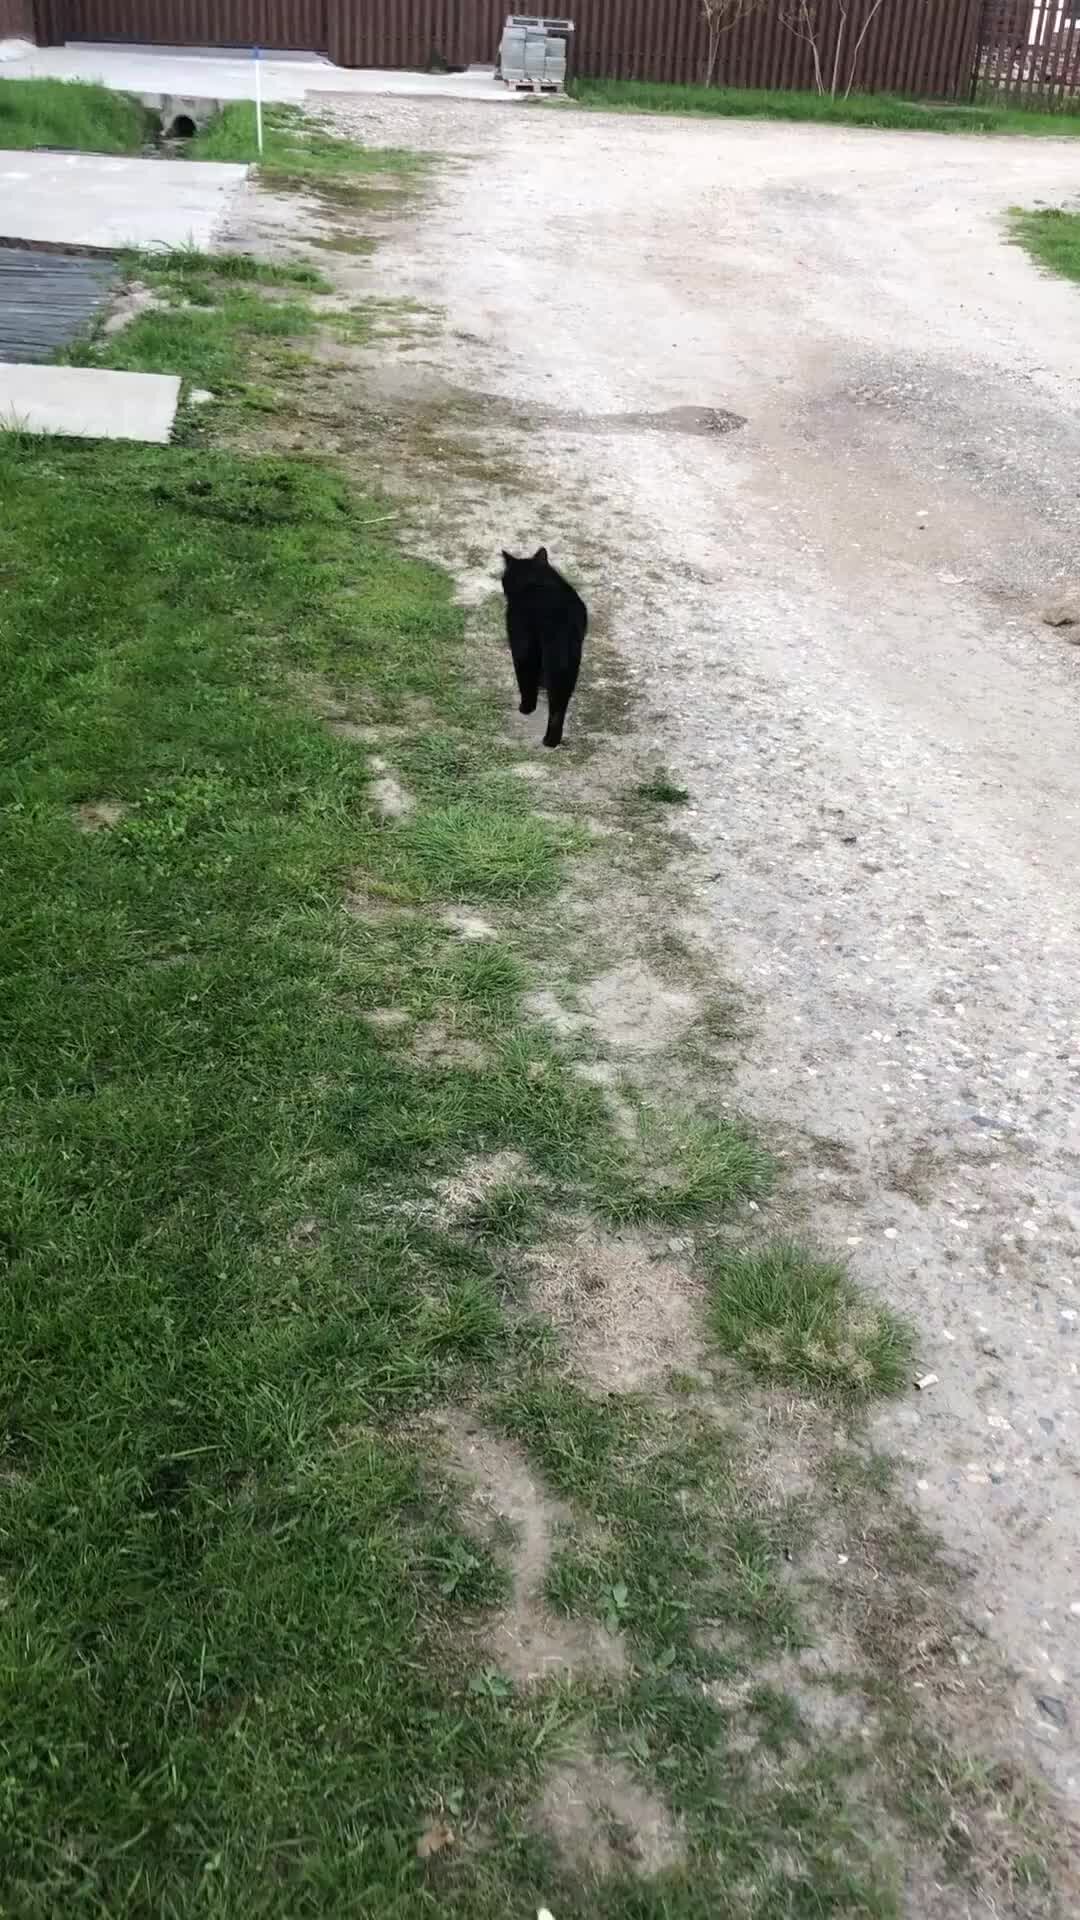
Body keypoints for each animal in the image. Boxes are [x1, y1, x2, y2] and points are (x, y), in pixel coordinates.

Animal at [499, 549, 584, 748]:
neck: (535, 580)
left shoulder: (520, 644)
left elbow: (526, 679)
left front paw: (526, 707)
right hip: (568, 661)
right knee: (560, 702)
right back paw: (553, 740)